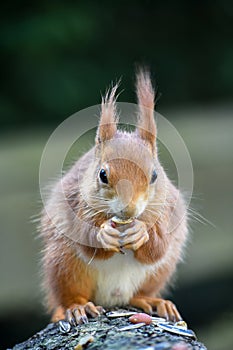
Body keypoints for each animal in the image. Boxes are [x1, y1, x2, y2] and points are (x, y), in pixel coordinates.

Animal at [40, 68, 188, 326]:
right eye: (102, 174)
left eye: (155, 175)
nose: (129, 211)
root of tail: (112, 299)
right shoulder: (76, 204)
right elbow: (85, 238)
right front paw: (103, 235)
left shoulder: (167, 211)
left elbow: (158, 248)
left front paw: (141, 232)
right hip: (64, 264)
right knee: (68, 296)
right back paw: (77, 307)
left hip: (161, 271)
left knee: (144, 287)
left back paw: (152, 301)